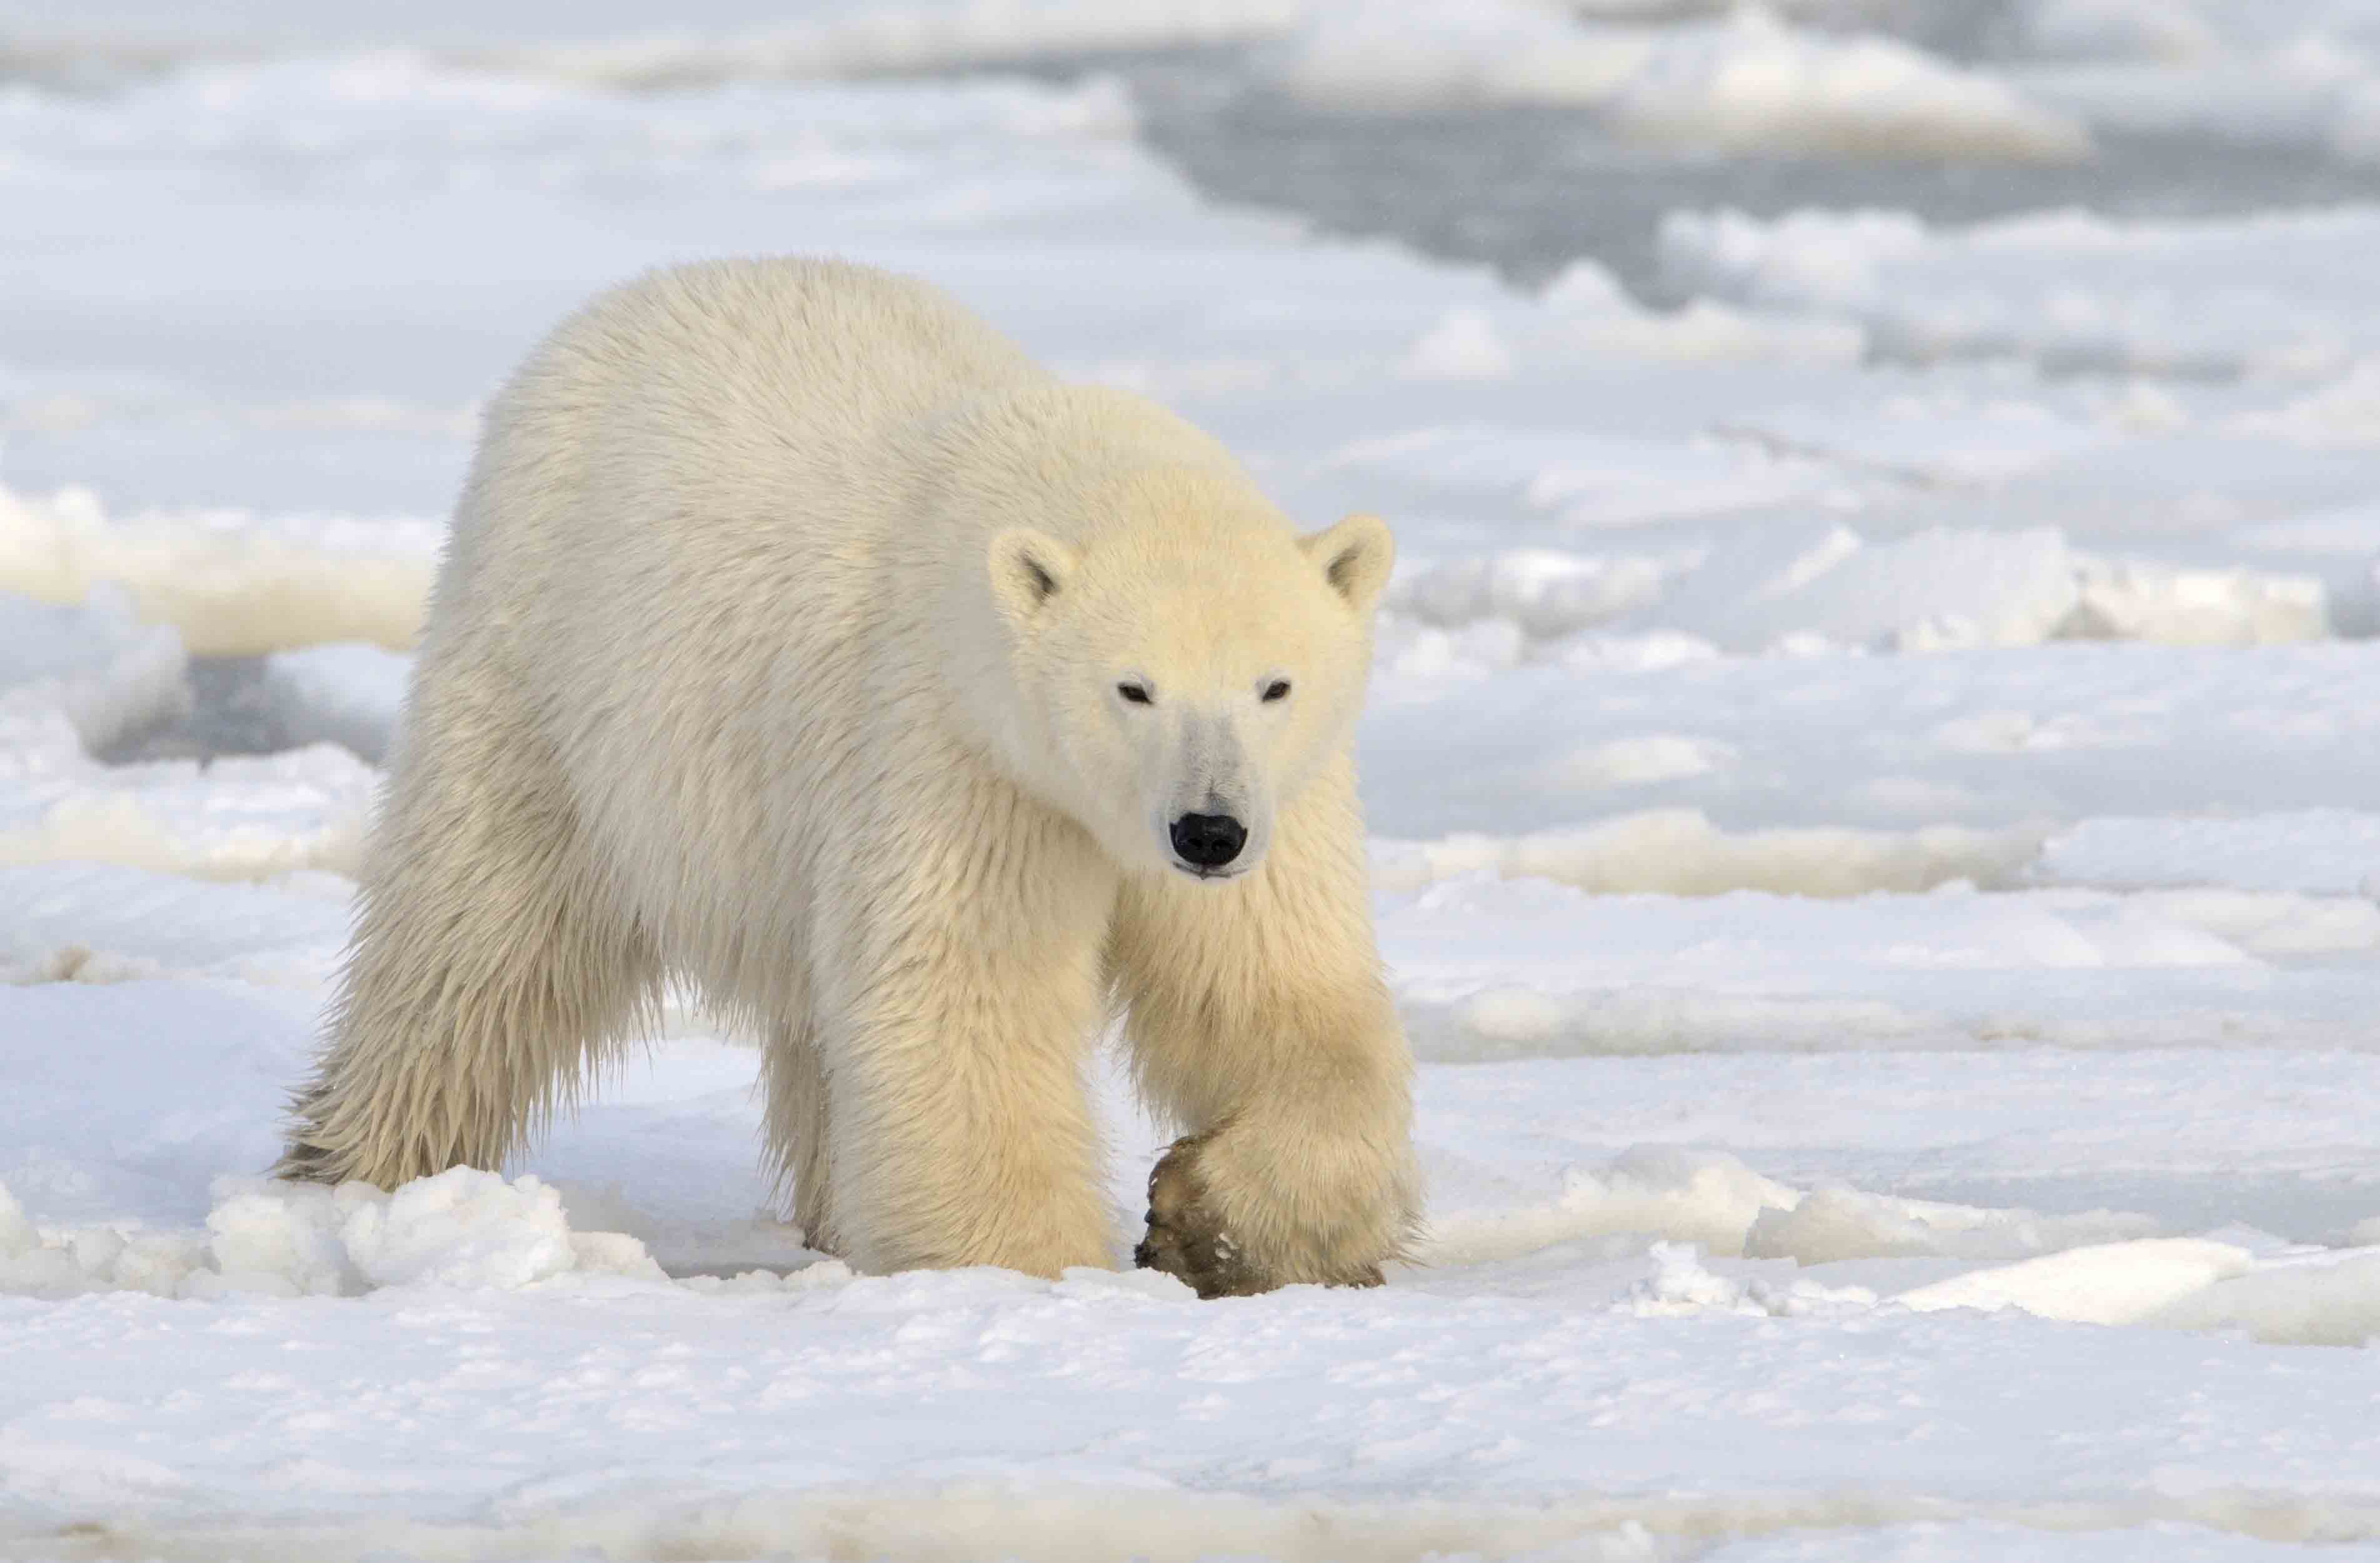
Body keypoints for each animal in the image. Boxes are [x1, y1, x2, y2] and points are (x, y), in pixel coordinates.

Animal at [276, 256, 1421, 1298]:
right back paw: (359, 1173)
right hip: (545, 671)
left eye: (1273, 684)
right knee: (476, 942)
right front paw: (1038, 1279)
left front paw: (1207, 1223)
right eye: (1131, 687)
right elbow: (962, 1005)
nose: (1205, 831)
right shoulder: (956, 750)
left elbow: (1278, 995)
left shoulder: (1280, 798)